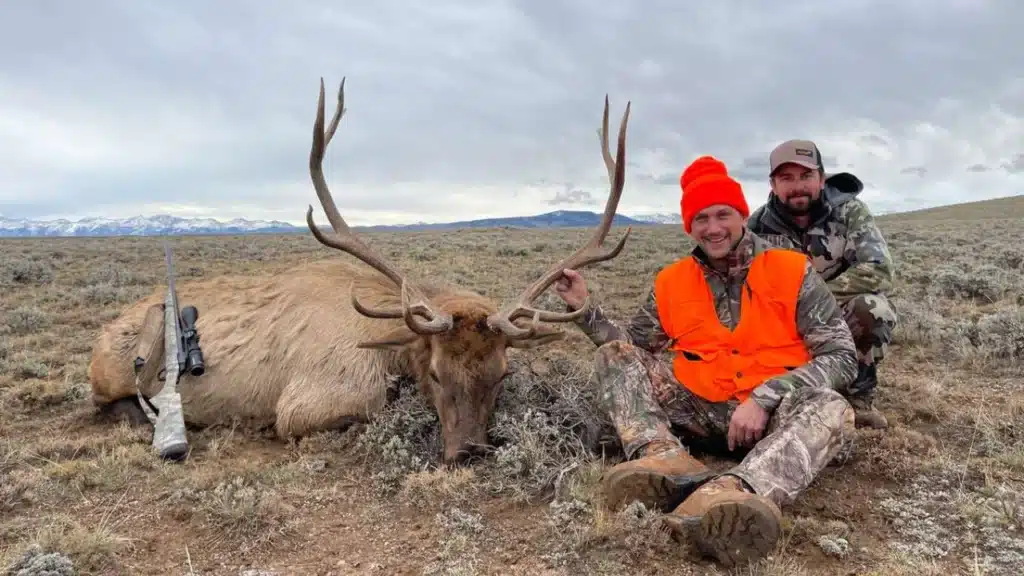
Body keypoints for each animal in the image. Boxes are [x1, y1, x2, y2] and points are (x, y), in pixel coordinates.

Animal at [87, 77, 633, 466]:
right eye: (435, 373)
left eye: (501, 374)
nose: (468, 452)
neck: (388, 348)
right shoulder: (304, 406)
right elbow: (365, 409)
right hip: (108, 376)